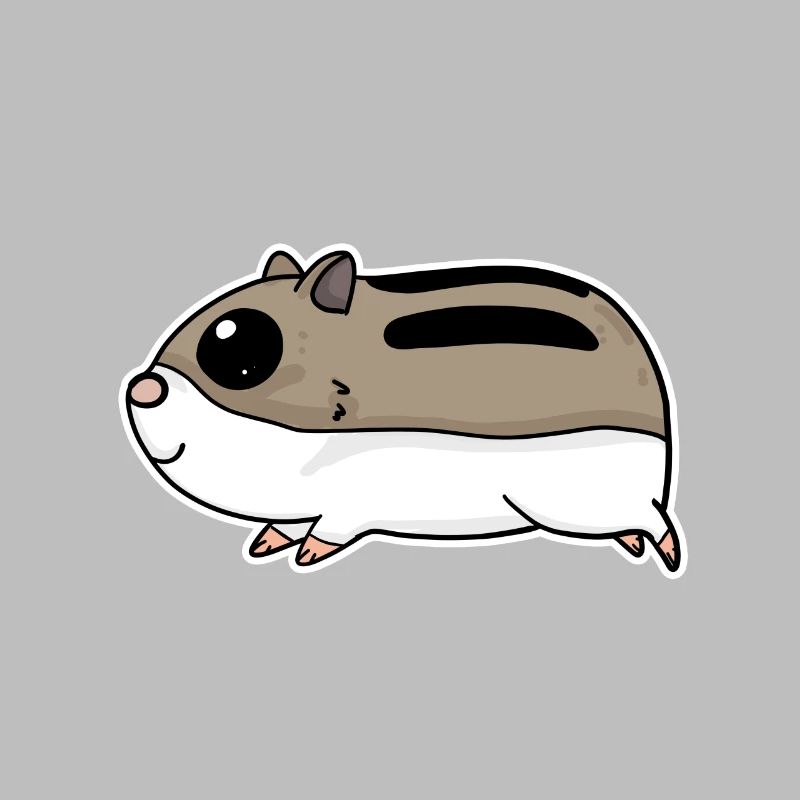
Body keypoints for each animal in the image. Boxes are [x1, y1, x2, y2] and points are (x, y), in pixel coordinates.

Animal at [120, 244, 684, 576]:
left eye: (241, 354)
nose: (141, 389)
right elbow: (285, 525)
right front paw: (266, 543)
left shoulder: (354, 499)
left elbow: (330, 528)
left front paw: (306, 553)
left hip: (576, 499)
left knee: (652, 522)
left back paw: (665, 550)